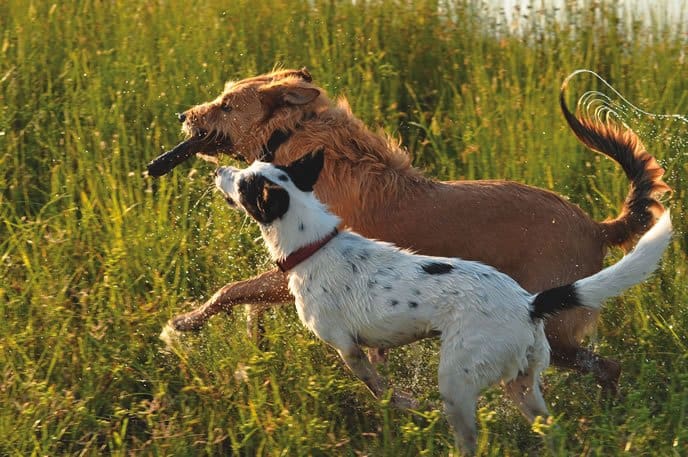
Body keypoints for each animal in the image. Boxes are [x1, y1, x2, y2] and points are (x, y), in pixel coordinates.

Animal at [150, 67, 672, 388]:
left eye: (225, 105)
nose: (182, 115)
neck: (300, 142)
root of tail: (597, 226)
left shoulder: (301, 269)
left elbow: (232, 290)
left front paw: (185, 322)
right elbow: (248, 298)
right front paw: (251, 339)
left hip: (554, 327)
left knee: (608, 367)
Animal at [215, 151, 672, 452]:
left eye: (243, 182)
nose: (218, 169)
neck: (314, 244)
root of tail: (530, 303)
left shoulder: (346, 347)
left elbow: (377, 387)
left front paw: (403, 404)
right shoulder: (374, 345)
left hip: (457, 383)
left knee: (469, 442)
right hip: (522, 385)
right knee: (549, 428)